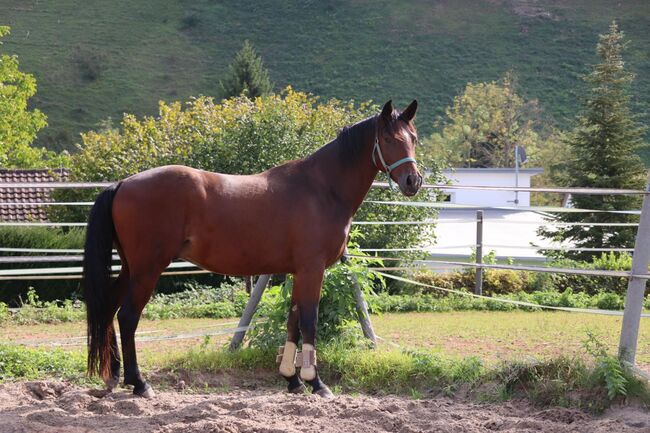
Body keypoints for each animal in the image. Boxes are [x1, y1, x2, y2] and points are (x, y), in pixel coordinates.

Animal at [83, 100, 420, 398]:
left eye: (413, 138)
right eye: (388, 139)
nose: (412, 181)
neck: (321, 188)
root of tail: (123, 183)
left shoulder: (297, 271)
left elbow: (293, 321)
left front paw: (292, 380)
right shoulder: (312, 269)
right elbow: (309, 321)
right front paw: (316, 383)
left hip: (131, 268)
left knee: (109, 309)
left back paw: (113, 376)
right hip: (147, 269)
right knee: (128, 316)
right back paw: (139, 383)